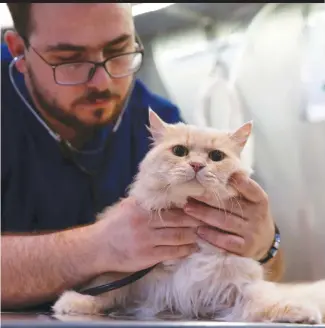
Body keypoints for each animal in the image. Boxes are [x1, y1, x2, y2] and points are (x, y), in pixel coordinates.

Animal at [53, 109, 324, 322]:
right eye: (179, 151)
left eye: (216, 156)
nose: (196, 166)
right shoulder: (130, 276)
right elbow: (107, 290)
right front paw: (73, 302)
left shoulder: (237, 287)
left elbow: (265, 301)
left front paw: (301, 312)